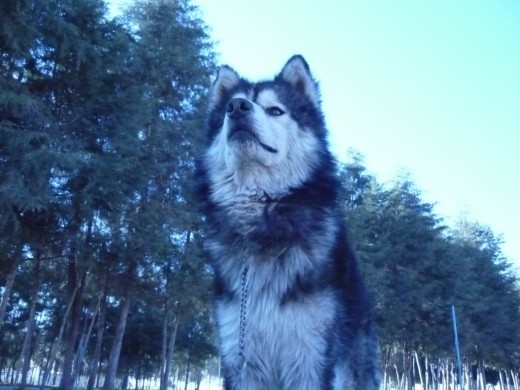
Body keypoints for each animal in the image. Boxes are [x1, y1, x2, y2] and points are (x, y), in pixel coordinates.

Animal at [195, 55, 382, 390]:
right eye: (230, 105)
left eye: (275, 110)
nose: (237, 107)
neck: (263, 229)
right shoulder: (239, 357)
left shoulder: (310, 357)